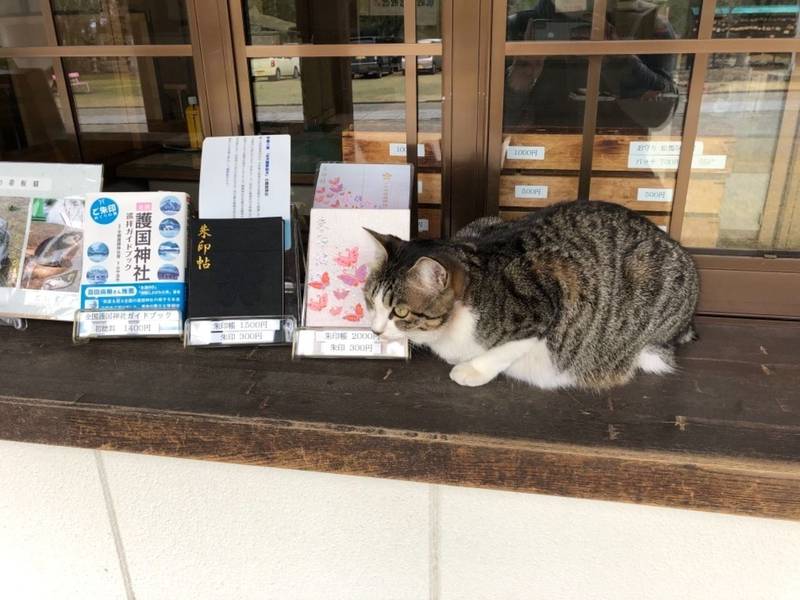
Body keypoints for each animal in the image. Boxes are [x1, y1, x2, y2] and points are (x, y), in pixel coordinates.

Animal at [366, 199, 696, 392]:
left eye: (400, 312)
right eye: (370, 301)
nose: (374, 331)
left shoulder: (548, 302)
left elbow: (505, 349)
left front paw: (472, 369)